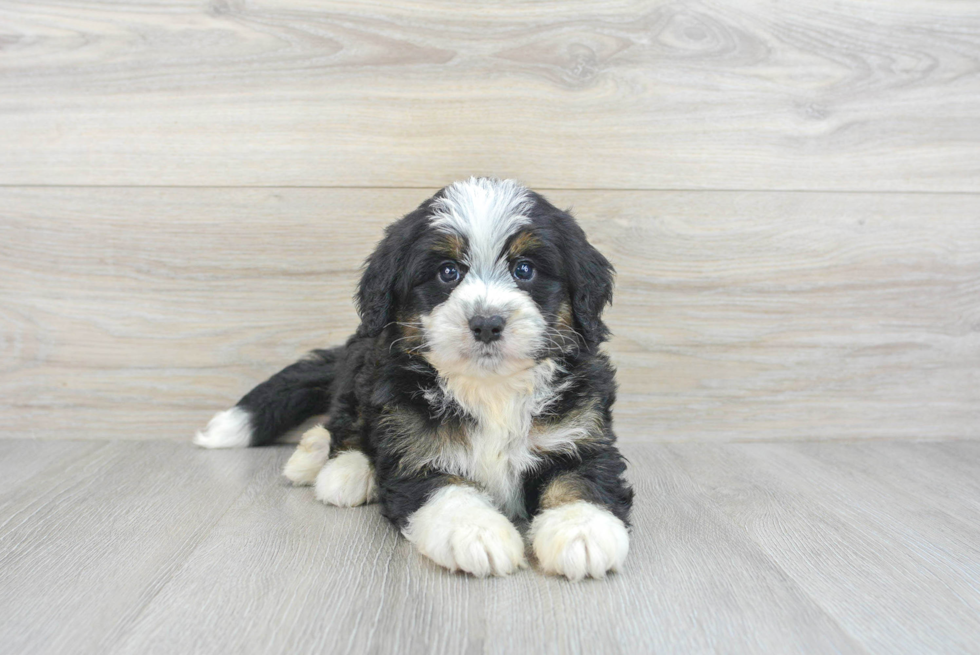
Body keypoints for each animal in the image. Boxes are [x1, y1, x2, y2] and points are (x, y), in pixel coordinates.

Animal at [195, 177, 632, 580]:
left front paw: (582, 530)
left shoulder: (579, 431)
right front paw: (476, 533)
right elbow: (445, 489)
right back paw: (334, 465)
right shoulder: (413, 444)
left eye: (525, 269)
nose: (486, 323)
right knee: (347, 421)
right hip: (364, 366)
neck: (490, 389)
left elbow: (582, 479)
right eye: (448, 272)